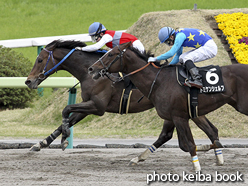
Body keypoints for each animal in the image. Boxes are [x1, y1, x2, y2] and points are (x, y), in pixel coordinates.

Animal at [25, 40, 223, 166]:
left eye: (40, 59)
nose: (28, 81)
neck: (89, 72)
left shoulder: (97, 106)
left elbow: (66, 110)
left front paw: (64, 139)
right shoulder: (89, 104)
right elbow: (66, 119)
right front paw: (41, 143)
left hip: (179, 111)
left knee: (181, 135)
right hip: (184, 110)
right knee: (203, 131)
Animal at [87, 41, 246, 171]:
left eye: (110, 54)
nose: (91, 69)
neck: (159, 81)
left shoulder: (180, 117)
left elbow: (189, 144)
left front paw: (197, 167)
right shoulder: (172, 117)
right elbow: (178, 142)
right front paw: (137, 158)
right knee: (212, 131)